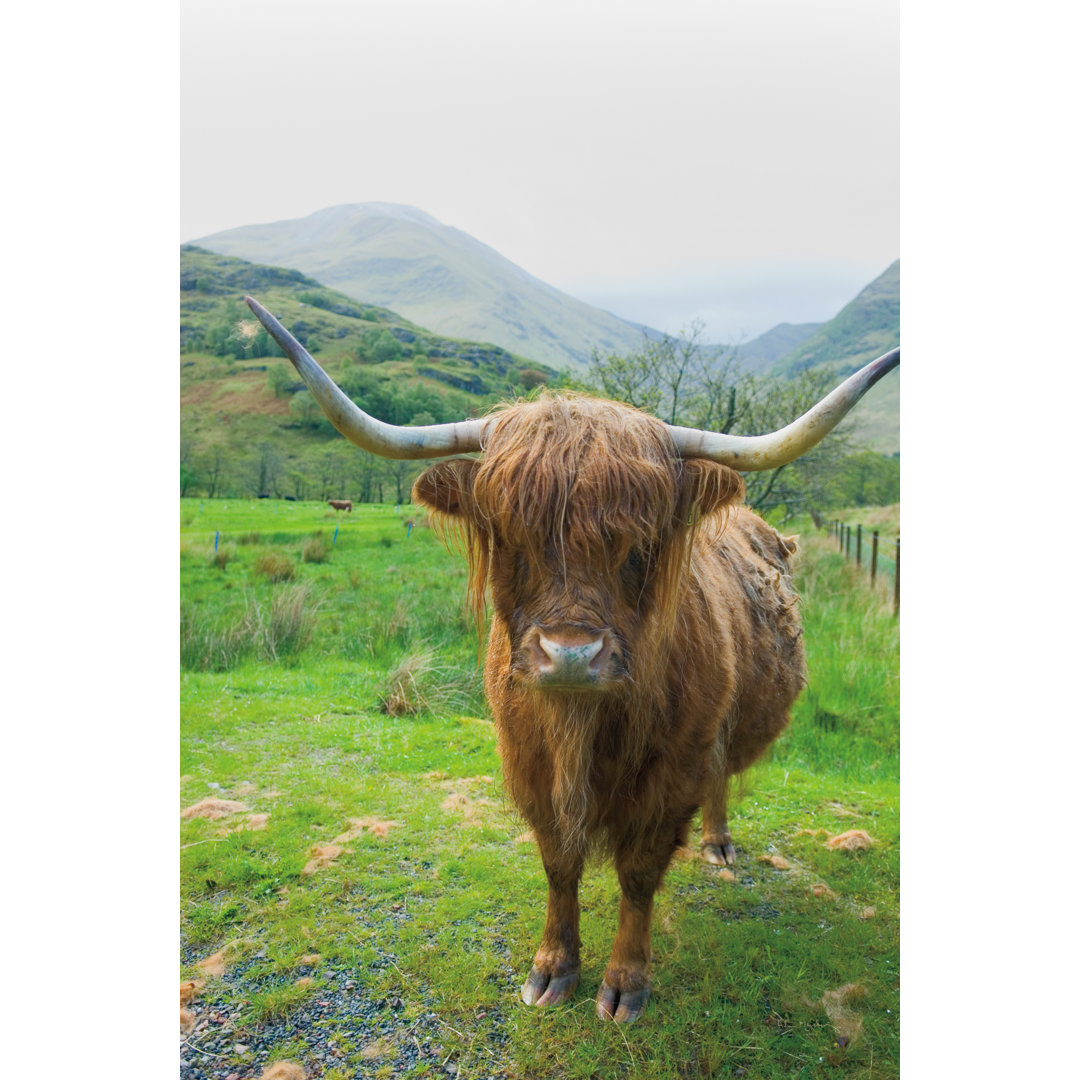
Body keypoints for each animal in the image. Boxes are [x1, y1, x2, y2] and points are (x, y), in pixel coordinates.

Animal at [244, 296, 898, 1024]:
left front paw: (625, 983)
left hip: (721, 732)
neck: (582, 726)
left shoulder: (672, 772)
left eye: (640, 542)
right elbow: (559, 863)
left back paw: (718, 844)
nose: (571, 655)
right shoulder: (527, 761)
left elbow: (639, 874)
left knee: (721, 778)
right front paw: (553, 967)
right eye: (509, 532)